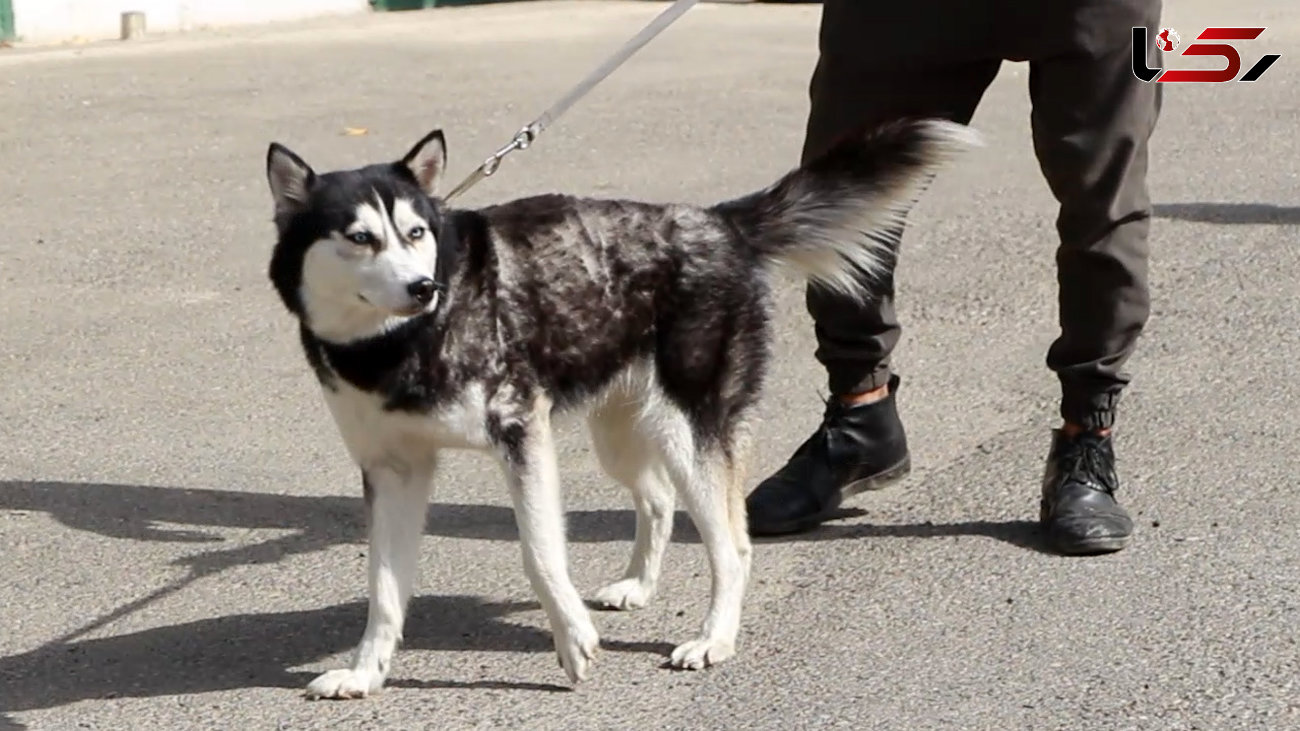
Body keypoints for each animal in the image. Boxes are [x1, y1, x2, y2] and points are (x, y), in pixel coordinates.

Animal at [263, 116, 977, 697]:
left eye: (415, 232)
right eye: (359, 238)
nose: (424, 286)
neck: (401, 341)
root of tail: (717, 221)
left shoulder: (521, 434)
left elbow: (541, 552)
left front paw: (571, 639)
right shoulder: (393, 471)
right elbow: (383, 590)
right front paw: (365, 673)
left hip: (691, 431)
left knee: (732, 543)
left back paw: (715, 637)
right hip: (621, 433)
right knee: (657, 499)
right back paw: (640, 583)